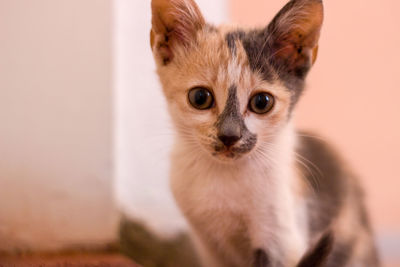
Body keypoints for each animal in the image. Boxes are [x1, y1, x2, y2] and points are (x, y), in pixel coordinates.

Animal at [149, 0, 378, 266]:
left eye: (262, 102)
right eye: (200, 98)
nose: (229, 135)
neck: (224, 175)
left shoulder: (282, 239)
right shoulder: (208, 246)